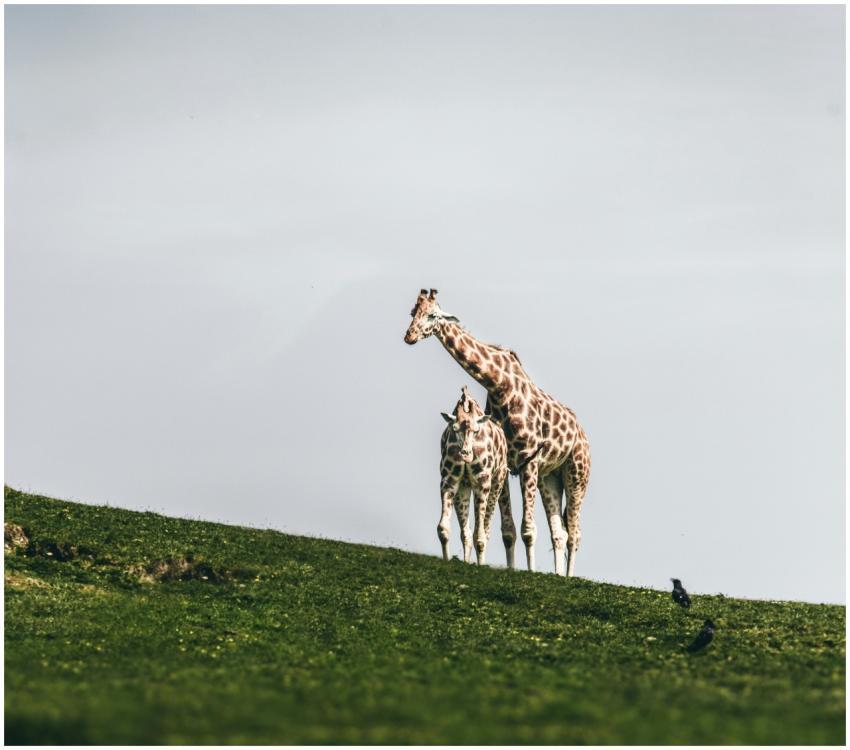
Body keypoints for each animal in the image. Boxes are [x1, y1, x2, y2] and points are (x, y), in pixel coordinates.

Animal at [438, 385, 515, 568]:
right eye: (455, 429)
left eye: (475, 430)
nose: (465, 454)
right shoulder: (450, 480)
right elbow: (444, 529)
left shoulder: (482, 481)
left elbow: (478, 536)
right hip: (467, 486)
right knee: (468, 533)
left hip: (489, 482)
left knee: (479, 532)